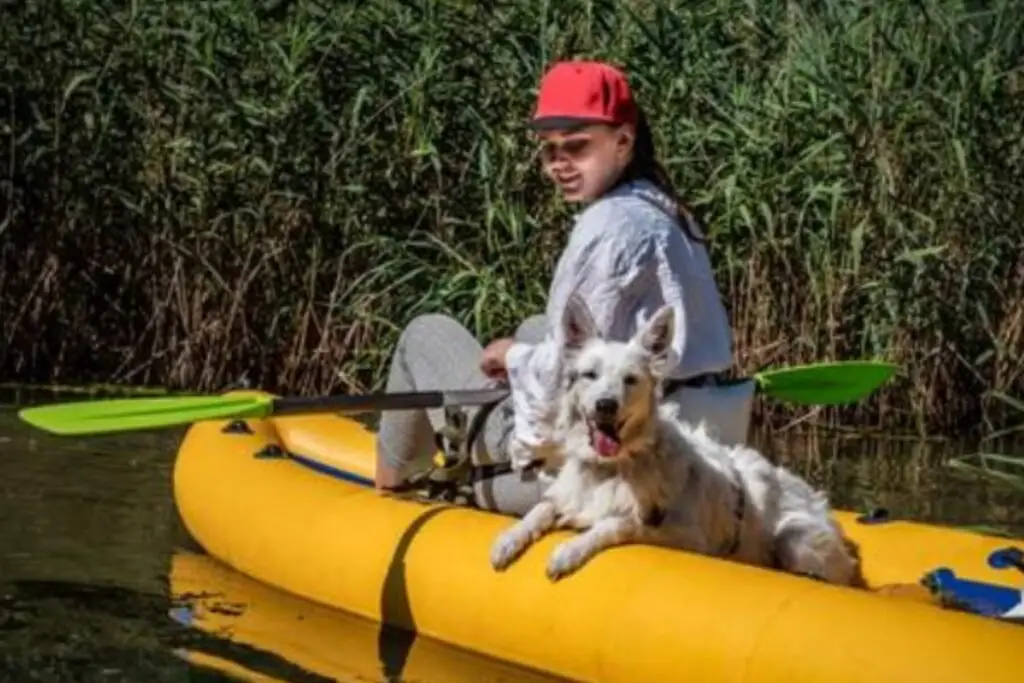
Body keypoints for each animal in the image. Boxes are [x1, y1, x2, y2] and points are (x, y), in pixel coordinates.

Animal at [489, 294, 864, 589]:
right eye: (589, 375)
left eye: (630, 379)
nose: (606, 405)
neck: (611, 469)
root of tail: (816, 498)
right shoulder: (567, 496)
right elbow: (539, 510)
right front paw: (508, 540)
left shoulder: (681, 535)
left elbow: (616, 524)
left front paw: (569, 550)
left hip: (794, 540)